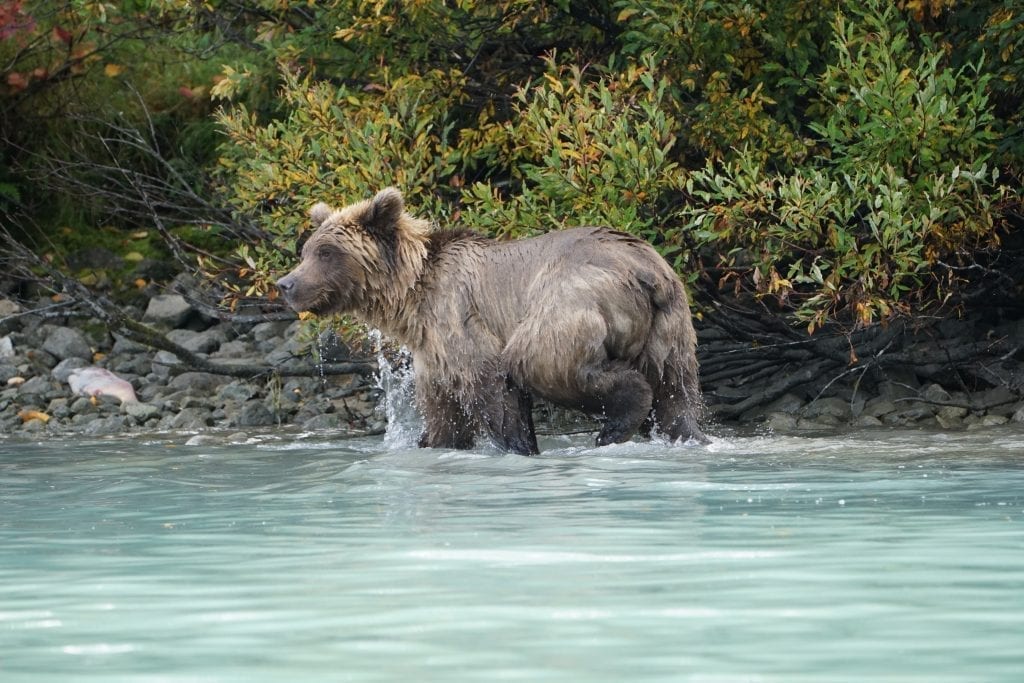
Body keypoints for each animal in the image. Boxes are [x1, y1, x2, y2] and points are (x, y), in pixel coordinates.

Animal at [276, 188, 704, 454]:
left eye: (327, 252)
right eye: (307, 250)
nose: (286, 284)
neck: (411, 297)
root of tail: (644, 270)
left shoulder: (458, 319)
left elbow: (494, 391)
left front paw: (517, 445)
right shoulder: (433, 354)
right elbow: (444, 415)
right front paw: (431, 441)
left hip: (568, 300)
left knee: (542, 360)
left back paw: (616, 423)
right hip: (673, 325)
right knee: (676, 393)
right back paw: (688, 434)